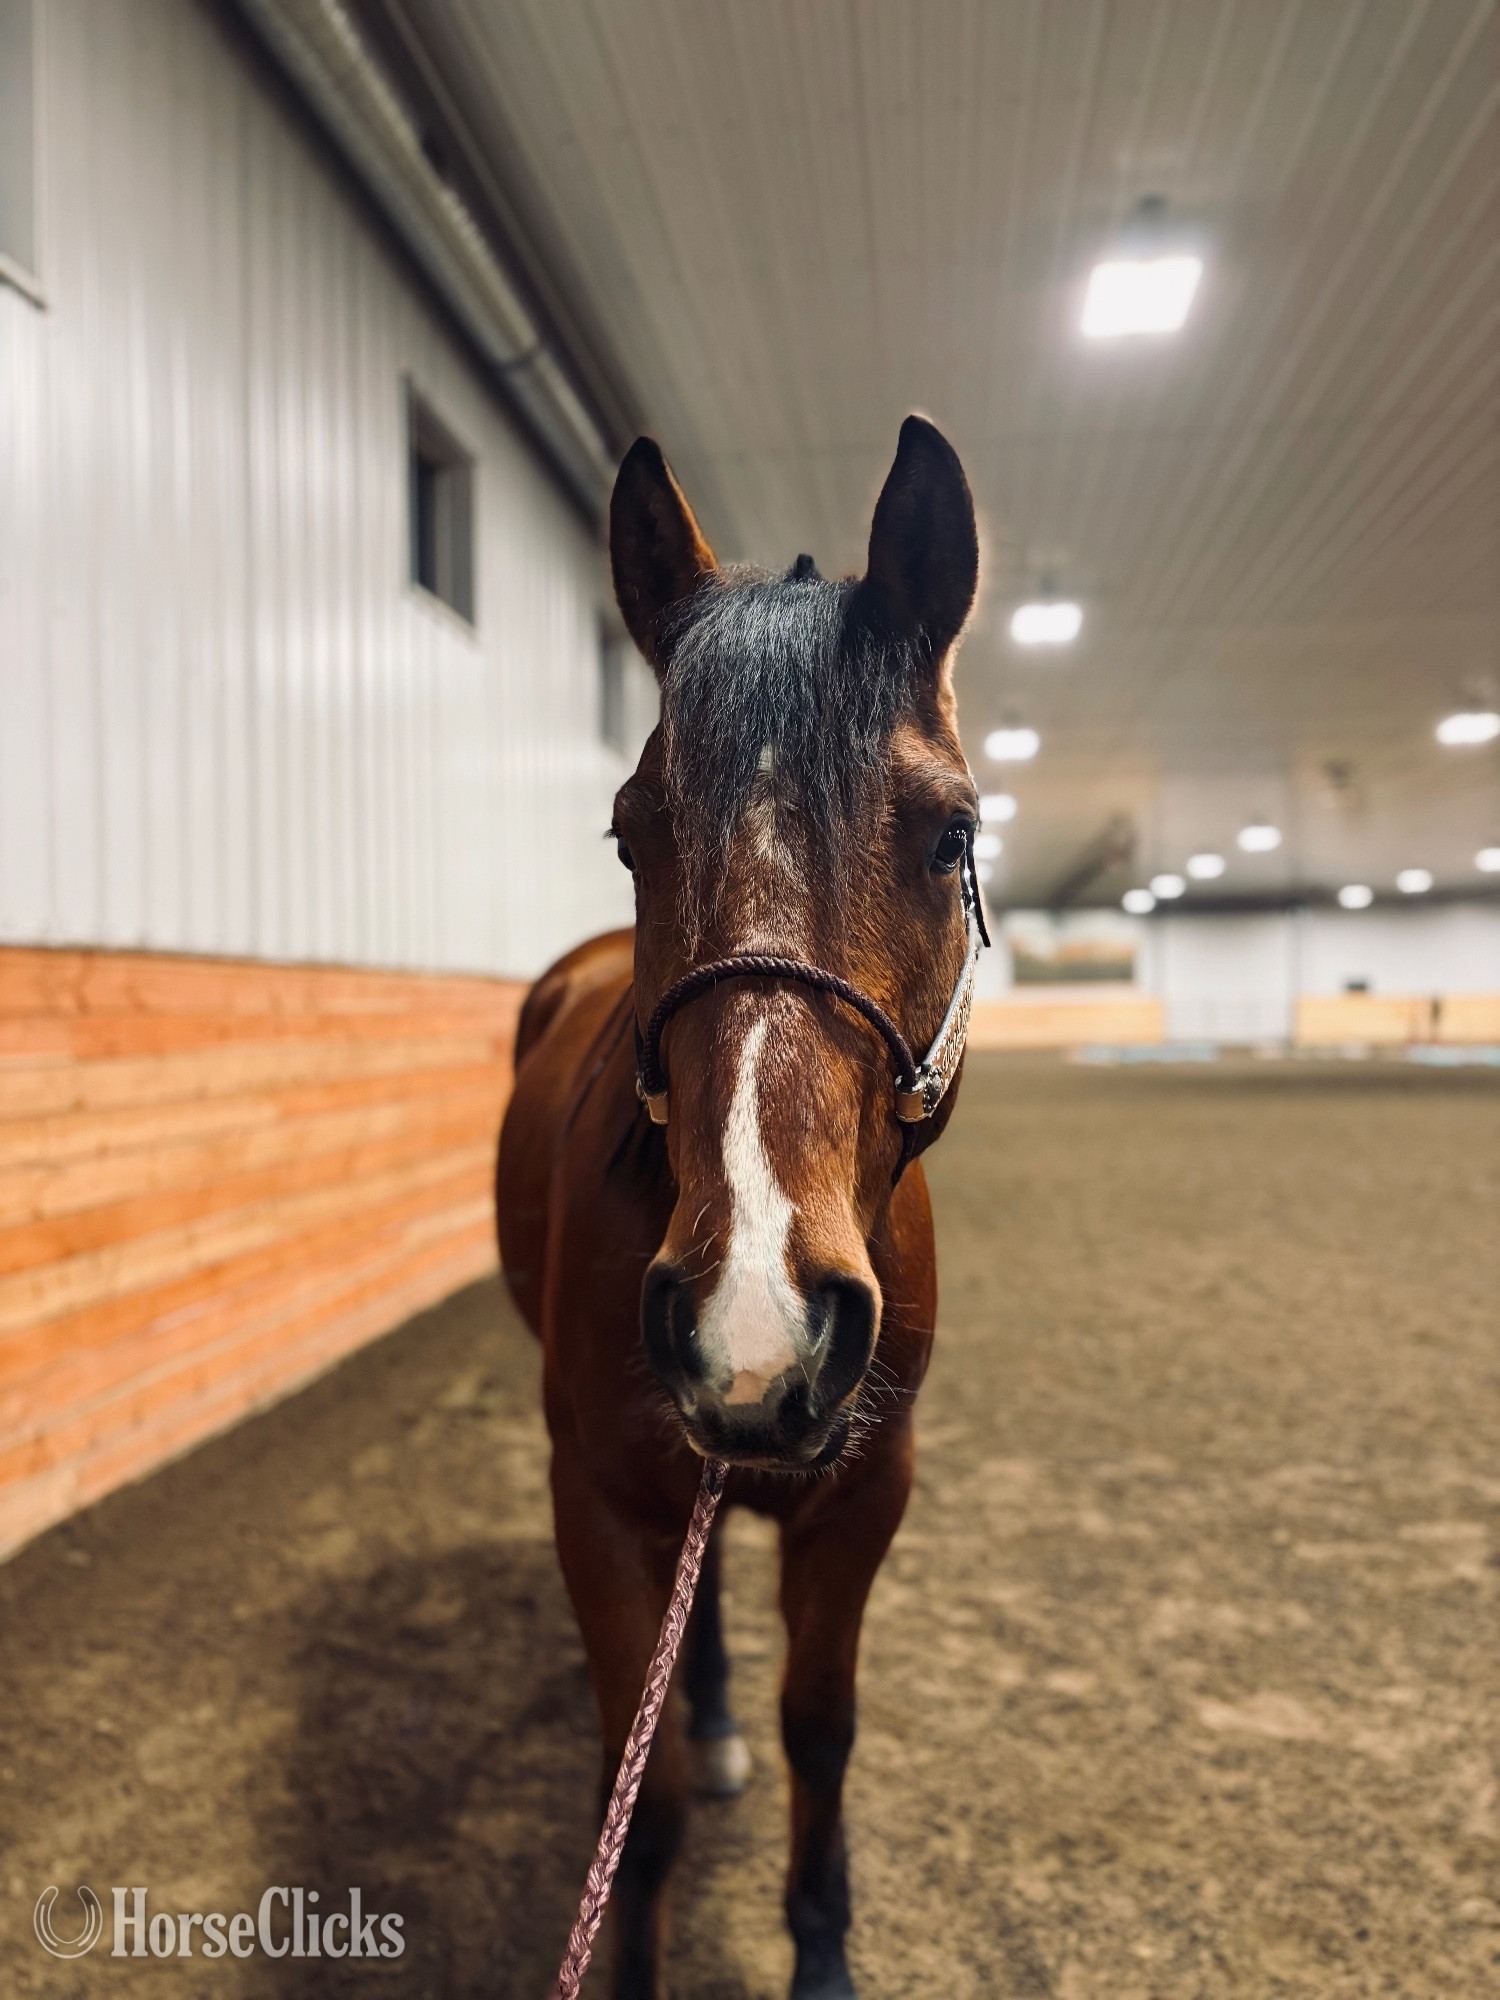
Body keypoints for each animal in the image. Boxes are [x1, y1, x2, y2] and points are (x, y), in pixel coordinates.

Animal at [496, 414, 984, 2000]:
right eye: (629, 832)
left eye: (951, 836)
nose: (753, 1322)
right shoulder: (596, 1495)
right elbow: (629, 1797)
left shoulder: (867, 1495)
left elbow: (821, 1729)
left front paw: (821, 1952)